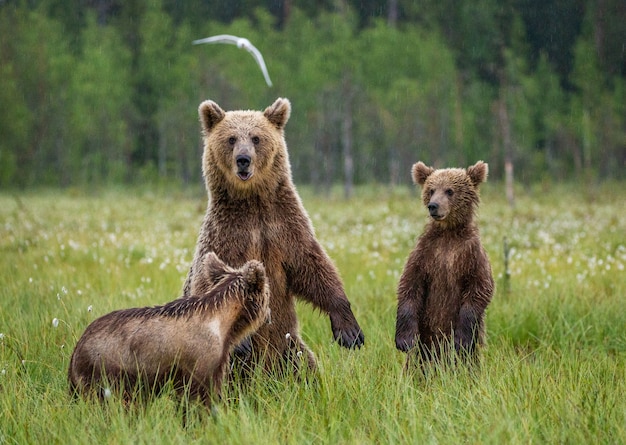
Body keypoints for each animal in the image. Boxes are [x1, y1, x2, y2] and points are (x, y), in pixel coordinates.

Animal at [183, 98, 364, 374]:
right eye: (231, 139)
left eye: (256, 138)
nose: (243, 159)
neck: (252, 202)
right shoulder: (226, 234)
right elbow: (209, 278)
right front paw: (242, 338)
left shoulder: (283, 227)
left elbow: (313, 266)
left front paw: (349, 330)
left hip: (288, 344)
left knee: (305, 365)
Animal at [394, 161, 492, 366]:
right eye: (431, 190)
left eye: (449, 190)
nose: (433, 206)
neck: (449, 232)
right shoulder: (425, 253)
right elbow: (409, 284)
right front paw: (404, 339)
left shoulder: (471, 253)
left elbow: (480, 287)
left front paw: (461, 339)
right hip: (425, 337)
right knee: (416, 362)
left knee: (468, 361)